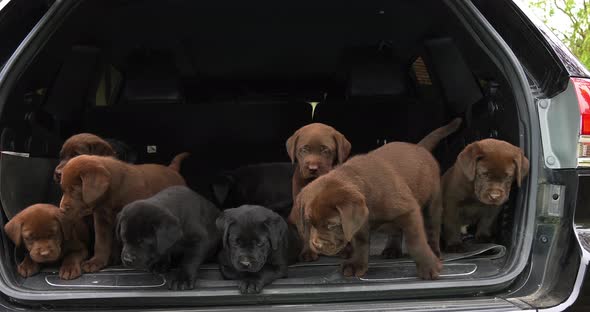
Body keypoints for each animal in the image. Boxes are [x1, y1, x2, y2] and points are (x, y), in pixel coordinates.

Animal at [59, 152, 188, 272]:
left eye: (74, 189)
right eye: (64, 189)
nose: (61, 209)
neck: (113, 194)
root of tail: (172, 169)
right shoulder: (102, 220)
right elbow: (101, 242)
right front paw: (96, 262)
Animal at [296, 143, 444, 280]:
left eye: (332, 225)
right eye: (310, 223)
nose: (317, 245)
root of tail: (418, 146)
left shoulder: (409, 210)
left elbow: (415, 241)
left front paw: (428, 266)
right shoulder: (359, 222)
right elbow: (361, 243)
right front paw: (356, 265)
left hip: (433, 202)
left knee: (432, 227)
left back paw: (434, 250)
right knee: (395, 230)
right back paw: (392, 249)